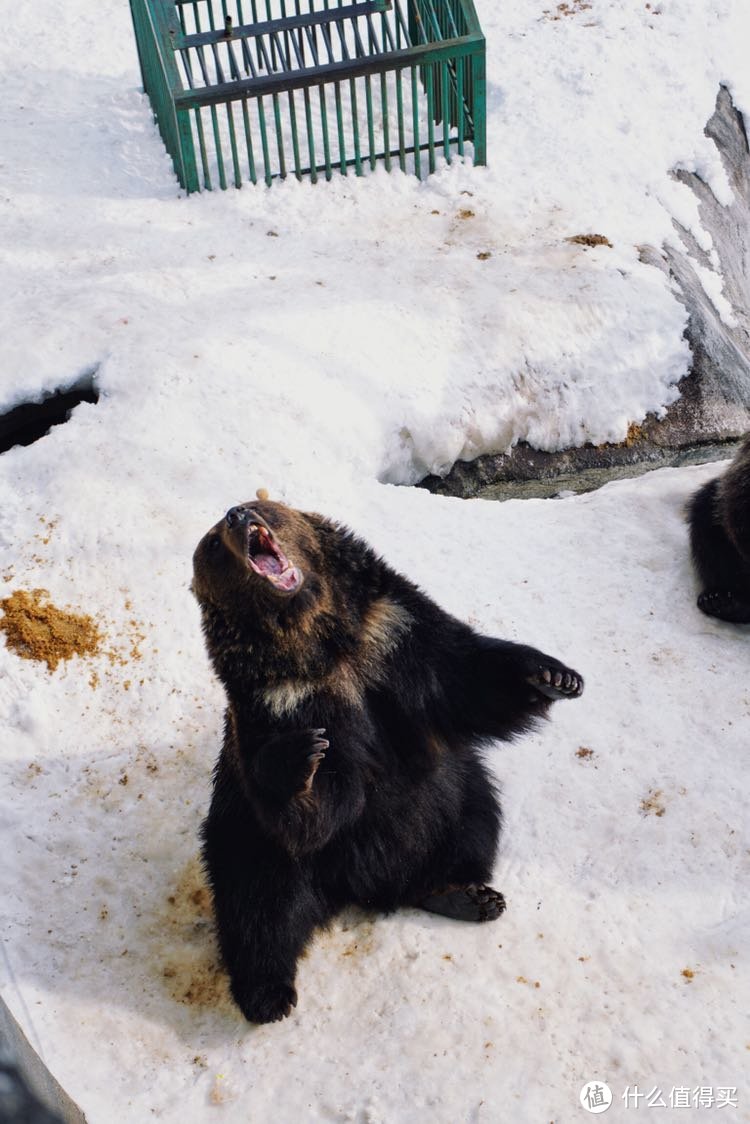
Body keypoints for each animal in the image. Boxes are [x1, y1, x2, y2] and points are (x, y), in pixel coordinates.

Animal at [191, 496, 584, 1025]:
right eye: (212, 545)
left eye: (262, 508)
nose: (235, 515)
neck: (319, 645)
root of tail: (364, 886)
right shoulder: (280, 705)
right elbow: (316, 807)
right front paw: (301, 760)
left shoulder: (394, 634)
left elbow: (467, 671)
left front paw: (552, 676)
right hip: (248, 835)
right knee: (259, 902)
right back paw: (267, 993)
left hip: (455, 795)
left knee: (477, 819)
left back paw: (464, 894)